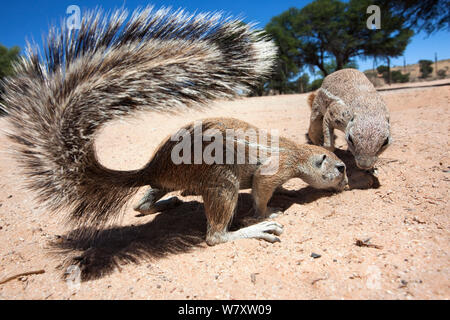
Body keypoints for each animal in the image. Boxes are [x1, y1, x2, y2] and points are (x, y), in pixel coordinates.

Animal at [0, 6, 274, 238]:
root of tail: (152, 168)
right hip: (221, 176)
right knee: (215, 236)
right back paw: (251, 230)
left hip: (177, 180)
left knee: (141, 203)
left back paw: (167, 202)